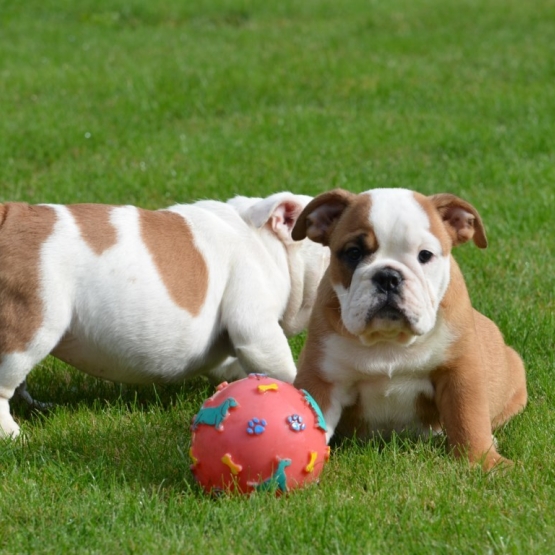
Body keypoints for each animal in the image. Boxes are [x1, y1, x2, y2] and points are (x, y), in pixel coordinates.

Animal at [0, 191, 330, 438]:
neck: (266, 244)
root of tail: (8, 216)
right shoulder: (257, 329)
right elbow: (283, 369)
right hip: (32, 324)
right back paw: (11, 433)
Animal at [294, 189, 528, 472]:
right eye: (354, 252)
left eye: (425, 255)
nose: (387, 276)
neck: (390, 341)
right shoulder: (321, 378)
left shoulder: (459, 371)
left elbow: (468, 417)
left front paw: (485, 462)